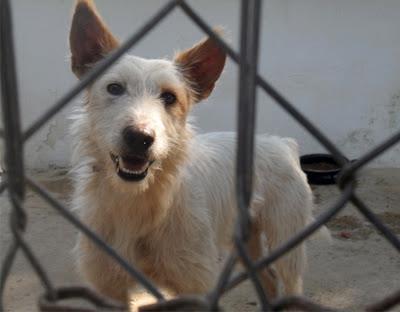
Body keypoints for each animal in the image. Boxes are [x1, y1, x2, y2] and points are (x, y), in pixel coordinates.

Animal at [69, 0, 316, 302]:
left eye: (169, 97)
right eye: (114, 88)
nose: (140, 138)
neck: (139, 202)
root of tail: (281, 142)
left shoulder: (194, 285)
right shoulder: (108, 285)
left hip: (287, 244)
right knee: (267, 279)